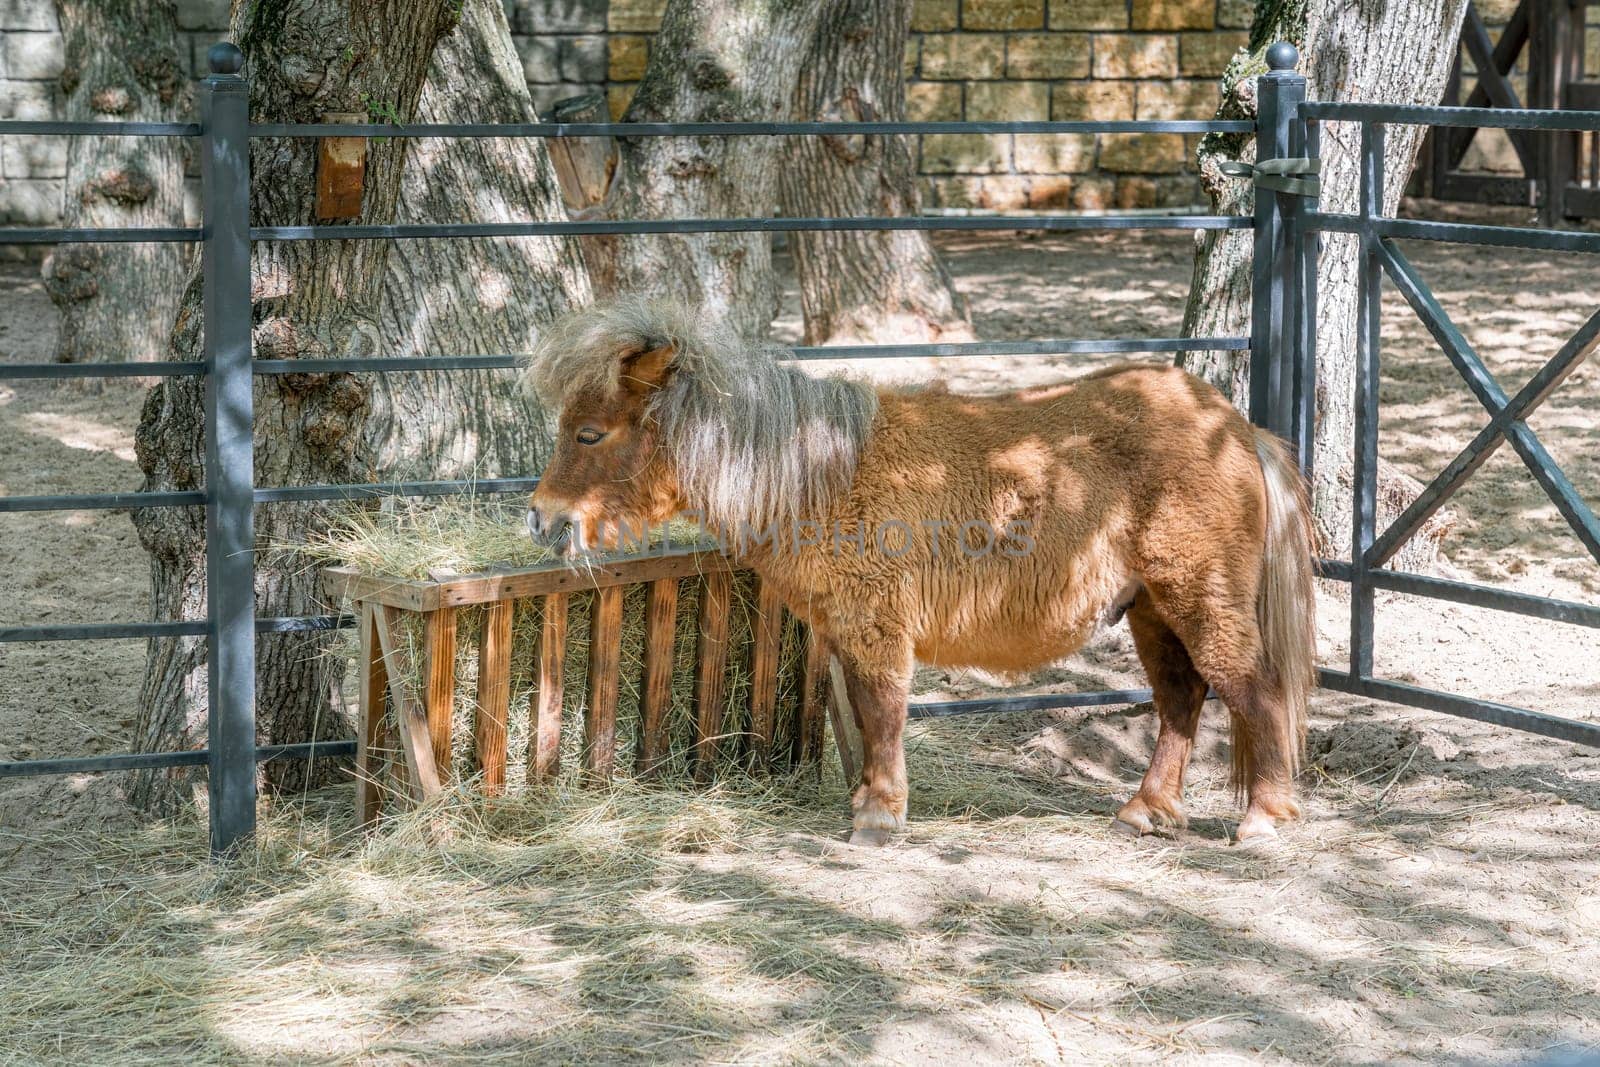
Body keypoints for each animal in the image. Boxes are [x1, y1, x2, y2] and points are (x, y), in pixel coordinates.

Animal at [524, 299, 1312, 844]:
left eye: (590, 433)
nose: (541, 519)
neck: (825, 474)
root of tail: (1235, 425)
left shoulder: (877, 625)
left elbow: (882, 711)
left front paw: (878, 816)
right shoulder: (844, 627)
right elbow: (864, 713)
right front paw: (869, 800)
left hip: (1200, 596)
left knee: (1251, 687)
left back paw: (1264, 817)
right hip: (1152, 607)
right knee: (1182, 697)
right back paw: (1146, 809)